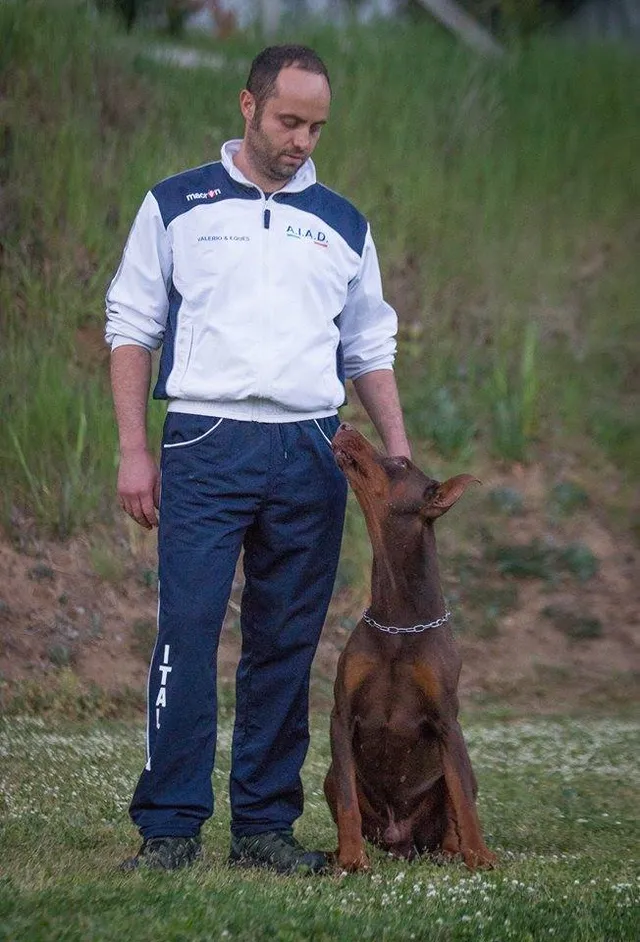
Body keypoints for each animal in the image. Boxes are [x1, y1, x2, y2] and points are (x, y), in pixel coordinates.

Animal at [324, 424, 496, 872]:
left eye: (400, 463)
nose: (344, 425)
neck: (399, 618)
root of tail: (400, 840)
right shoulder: (341, 715)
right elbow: (347, 802)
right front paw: (351, 858)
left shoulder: (447, 721)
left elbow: (463, 801)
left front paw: (480, 856)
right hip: (331, 776)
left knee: (457, 801)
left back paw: (454, 852)